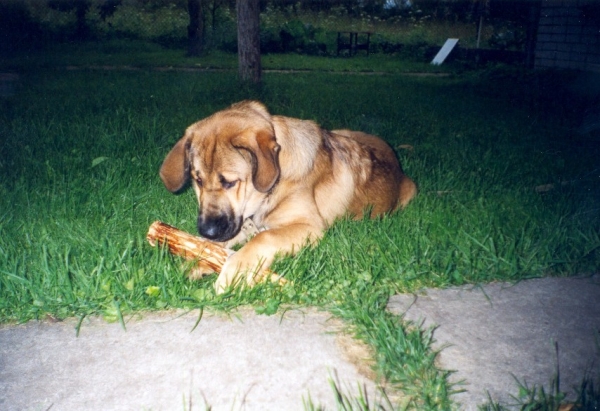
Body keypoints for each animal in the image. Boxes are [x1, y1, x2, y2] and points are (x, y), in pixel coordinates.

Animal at [158, 100, 418, 292]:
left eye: (230, 182)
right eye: (198, 180)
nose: (207, 231)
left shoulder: (309, 228)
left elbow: (264, 238)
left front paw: (236, 270)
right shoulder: (242, 223)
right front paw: (195, 261)